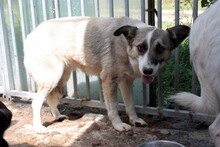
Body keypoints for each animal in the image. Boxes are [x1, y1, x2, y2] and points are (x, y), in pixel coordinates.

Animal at [23, 16, 189, 133]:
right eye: (141, 47)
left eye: (160, 49)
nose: (147, 71)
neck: (125, 45)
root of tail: (32, 33)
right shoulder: (109, 80)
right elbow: (114, 107)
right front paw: (118, 125)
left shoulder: (126, 81)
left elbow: (130, 105)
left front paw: (135, 120)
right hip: (51, 77)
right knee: (36, 102)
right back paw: (38, 128)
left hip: (61, 77)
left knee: (51, 98)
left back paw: (57, 116)